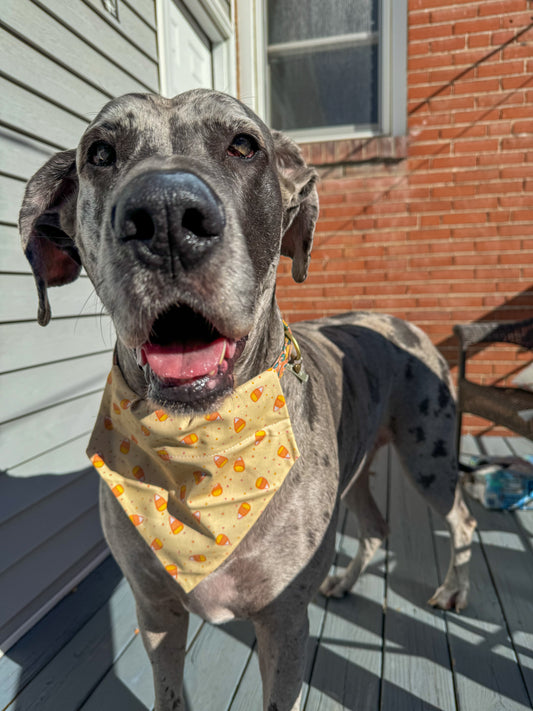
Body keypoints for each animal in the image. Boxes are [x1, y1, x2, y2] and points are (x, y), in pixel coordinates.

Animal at [18, 90, 474, 711]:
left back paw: (451, 589)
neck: (202, 449)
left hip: (429, 457)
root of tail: (402, 322)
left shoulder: (284, 623)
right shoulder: (155, 611)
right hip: (359, 469)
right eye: (100, 153)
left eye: (243, 144)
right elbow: (169, 692)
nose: (165, 215)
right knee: (377, 526)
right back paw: (346, 580)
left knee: (462, 520)